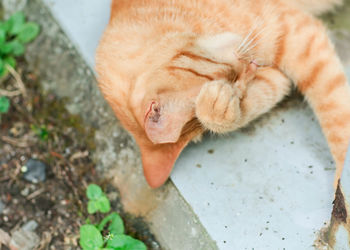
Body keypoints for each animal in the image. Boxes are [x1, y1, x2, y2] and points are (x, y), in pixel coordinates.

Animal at [95, 0, 348, 188]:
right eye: (236, 84)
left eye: (230, 77)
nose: (251, 68)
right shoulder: (278, 74)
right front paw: (218, 110)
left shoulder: (299, 37)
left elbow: (336, 116)